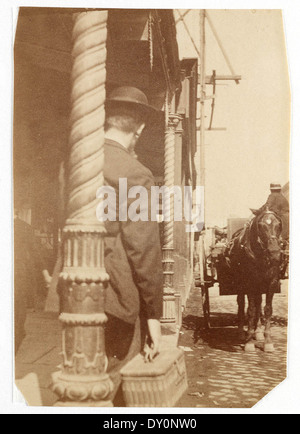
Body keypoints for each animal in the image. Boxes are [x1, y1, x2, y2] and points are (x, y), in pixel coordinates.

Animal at [226, 209, 282, 352]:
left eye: (279, 224)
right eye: (261, 226)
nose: (275, 252)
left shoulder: (271, 282)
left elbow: (267, 309)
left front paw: (267, 341)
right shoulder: (250, 283)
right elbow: (250, 310)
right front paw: (249, 342)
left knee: (258, 303)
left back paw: (258, 332)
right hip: (241, 283)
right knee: (241, 304)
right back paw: (242, 332)